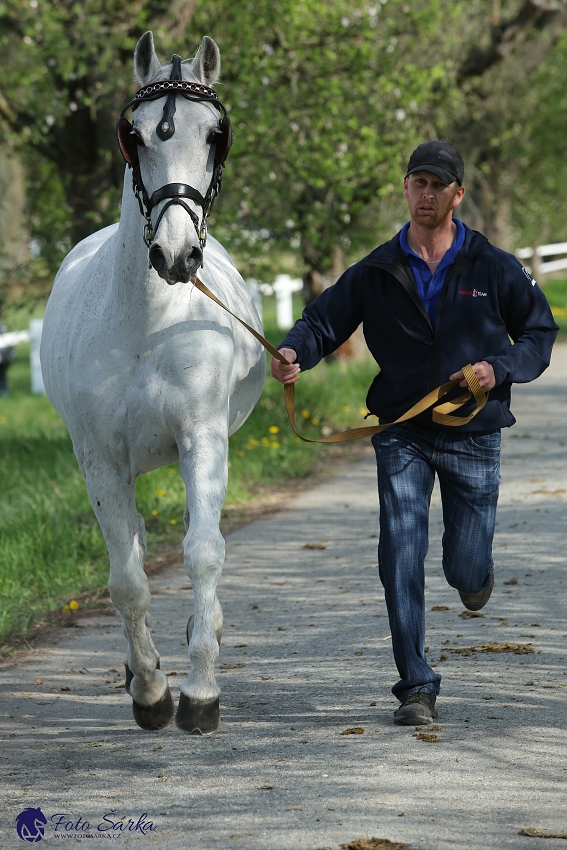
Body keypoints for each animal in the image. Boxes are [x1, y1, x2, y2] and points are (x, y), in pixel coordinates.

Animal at [40, 33, 266, 732]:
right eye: (133, 136)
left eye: (215, 134)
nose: (174, 255)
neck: (146, 322)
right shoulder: (100, 459)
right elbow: (127, 579)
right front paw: (150, 691)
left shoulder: (203, 439)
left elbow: (203, 552)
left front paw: (200, 692)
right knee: (133, 548)